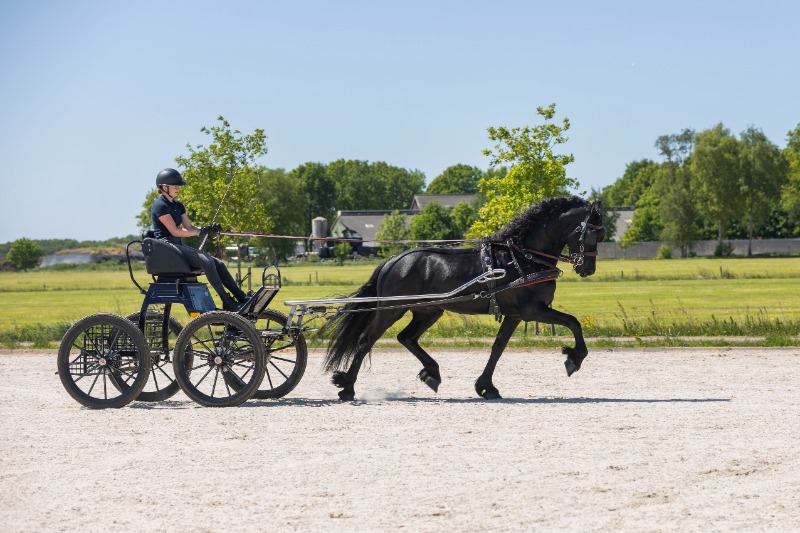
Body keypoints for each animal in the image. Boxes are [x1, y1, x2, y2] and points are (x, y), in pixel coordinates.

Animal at [319, 196, 605, 401]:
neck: (522, 257)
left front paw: (486, 387)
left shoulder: (514, 315)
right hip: (391, 309)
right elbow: (573, 322)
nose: (587, 269)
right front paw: (574, 358)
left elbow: (498, 348)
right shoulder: (533, 310)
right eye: (593, 234)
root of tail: (393, 260)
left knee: (406, 338)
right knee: (366, 340)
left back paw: (432, 373)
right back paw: (347, 388)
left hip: (429, 311)